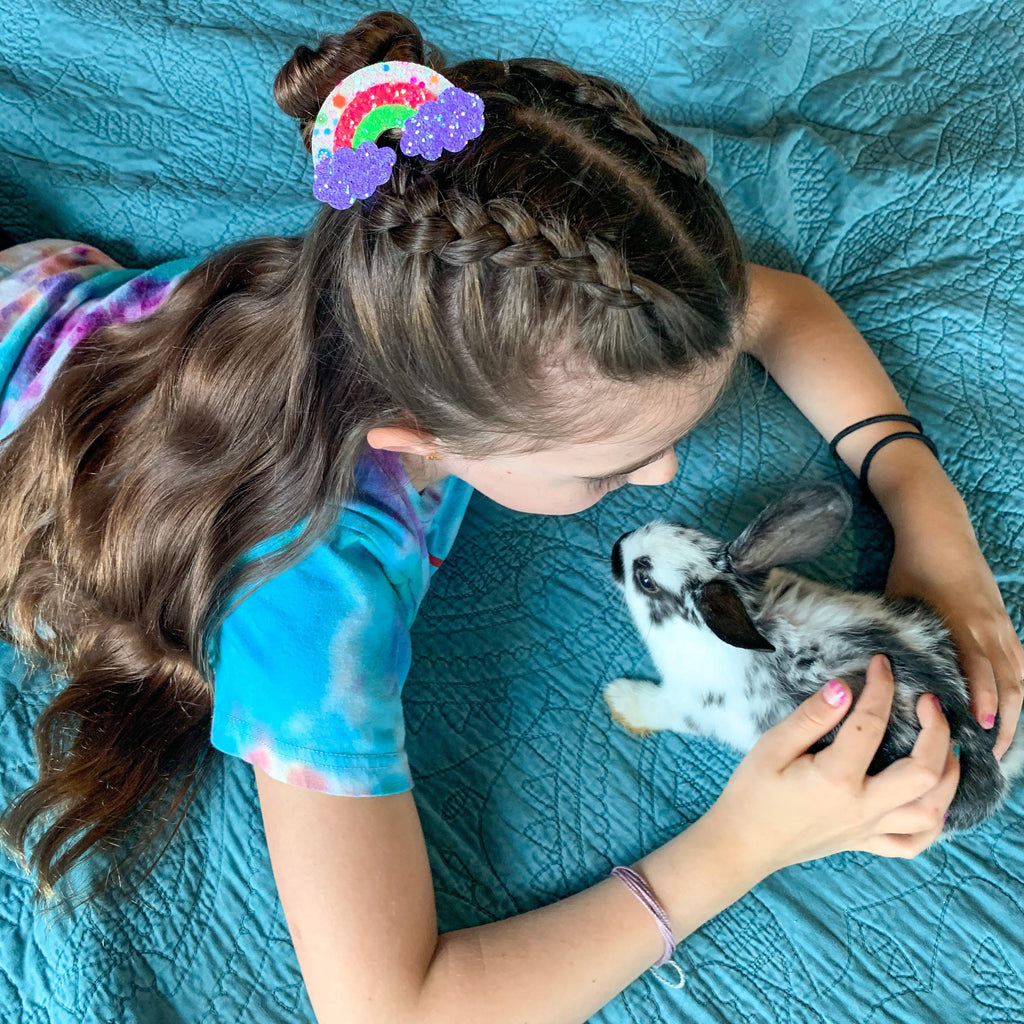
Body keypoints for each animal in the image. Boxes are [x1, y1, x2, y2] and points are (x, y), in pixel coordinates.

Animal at [602, 481, 1019, 831]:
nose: (616, 547)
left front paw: (620, 701)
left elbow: (661, 708)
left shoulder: (694, 706)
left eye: (645, 579)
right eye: (677, 524)